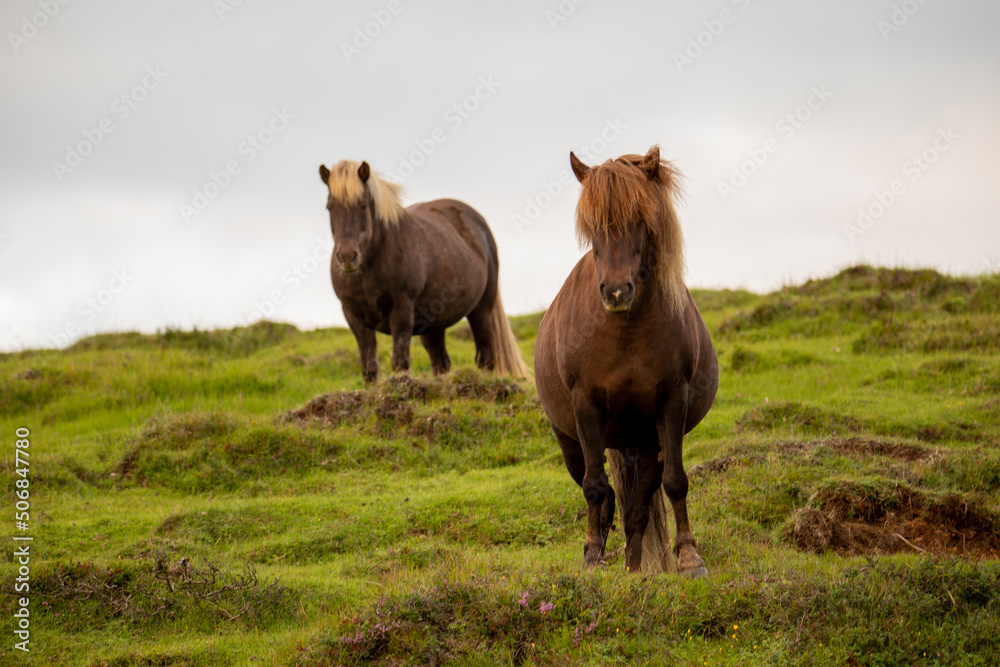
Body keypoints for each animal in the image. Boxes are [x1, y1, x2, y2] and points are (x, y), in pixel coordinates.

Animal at [318, 159, 530, 382]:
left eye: (363, 205)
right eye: (329, 207)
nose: (346, 256)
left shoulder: (401, 310)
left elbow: (399, 363)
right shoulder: (354, 316)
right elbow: (369, 369)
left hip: (481, 311)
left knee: (485, 358)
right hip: (433, 323)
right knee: (441, 362)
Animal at [534, 146, 718, 576]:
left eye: (640, 219)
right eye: (592, 226)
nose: (616, 292)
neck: (626, 330)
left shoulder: (672, 402)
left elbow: (675, 481)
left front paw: (690, 557)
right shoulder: (585, 405)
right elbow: (595, 487)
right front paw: (590, 557)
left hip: (649, 438)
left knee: (639, 502)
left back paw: (634, 567)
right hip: (570, 440)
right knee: (602, 491)